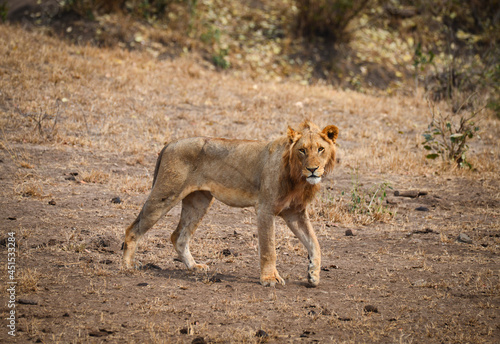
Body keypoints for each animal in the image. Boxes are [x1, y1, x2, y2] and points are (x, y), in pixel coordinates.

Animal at [123, 119, 338, 286]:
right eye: (302, 150)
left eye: (321, 149)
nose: (313, 169)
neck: (299, 178)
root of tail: (171, 143)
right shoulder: (265, 209)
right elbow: (269, 248)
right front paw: (269, 278)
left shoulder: (295, 212)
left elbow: (315, 243)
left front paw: (313, 275)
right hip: (165, 194)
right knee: (133, 229)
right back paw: (127, 266)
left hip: (199, 201)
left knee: (178, 236)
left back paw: (194, 266)